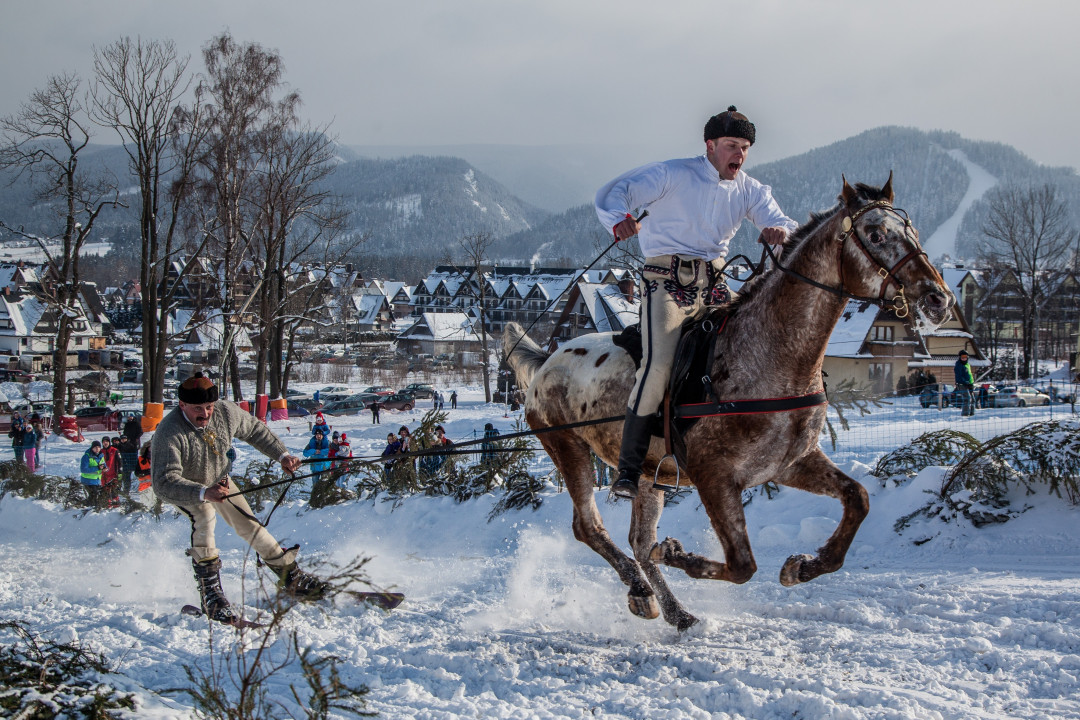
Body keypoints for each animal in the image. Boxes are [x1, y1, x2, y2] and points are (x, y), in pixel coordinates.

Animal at [505, 175, 954, 630]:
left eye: (913, 231)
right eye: (876, 234)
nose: (938, 299)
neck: (769, 356)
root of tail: (548, 360)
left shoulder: (791, 463)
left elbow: (857, 498)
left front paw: (804, 566)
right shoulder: (715, 477)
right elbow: (741, 564)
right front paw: (678, 554)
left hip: (651, 474)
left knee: (638, 540)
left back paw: (674, 610)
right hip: (569, 449)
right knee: (590, 527)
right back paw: (641, 591)